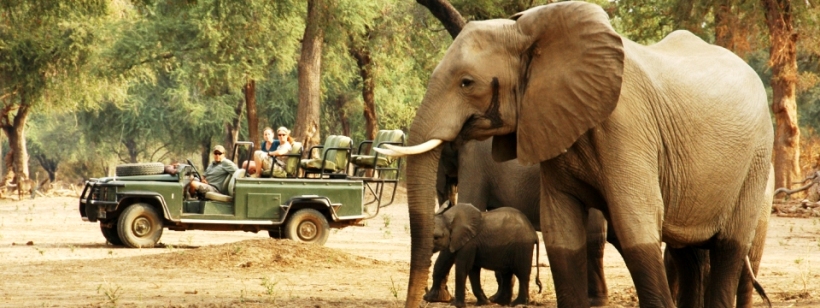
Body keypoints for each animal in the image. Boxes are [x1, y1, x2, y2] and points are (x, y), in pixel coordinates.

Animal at [378, 3, 776, 308]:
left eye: (466, 83)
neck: (529, 32)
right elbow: (562, 233)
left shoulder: (628, 130)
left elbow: (636, 226)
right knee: (688, 252)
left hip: (758, 160)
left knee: (728, 249)